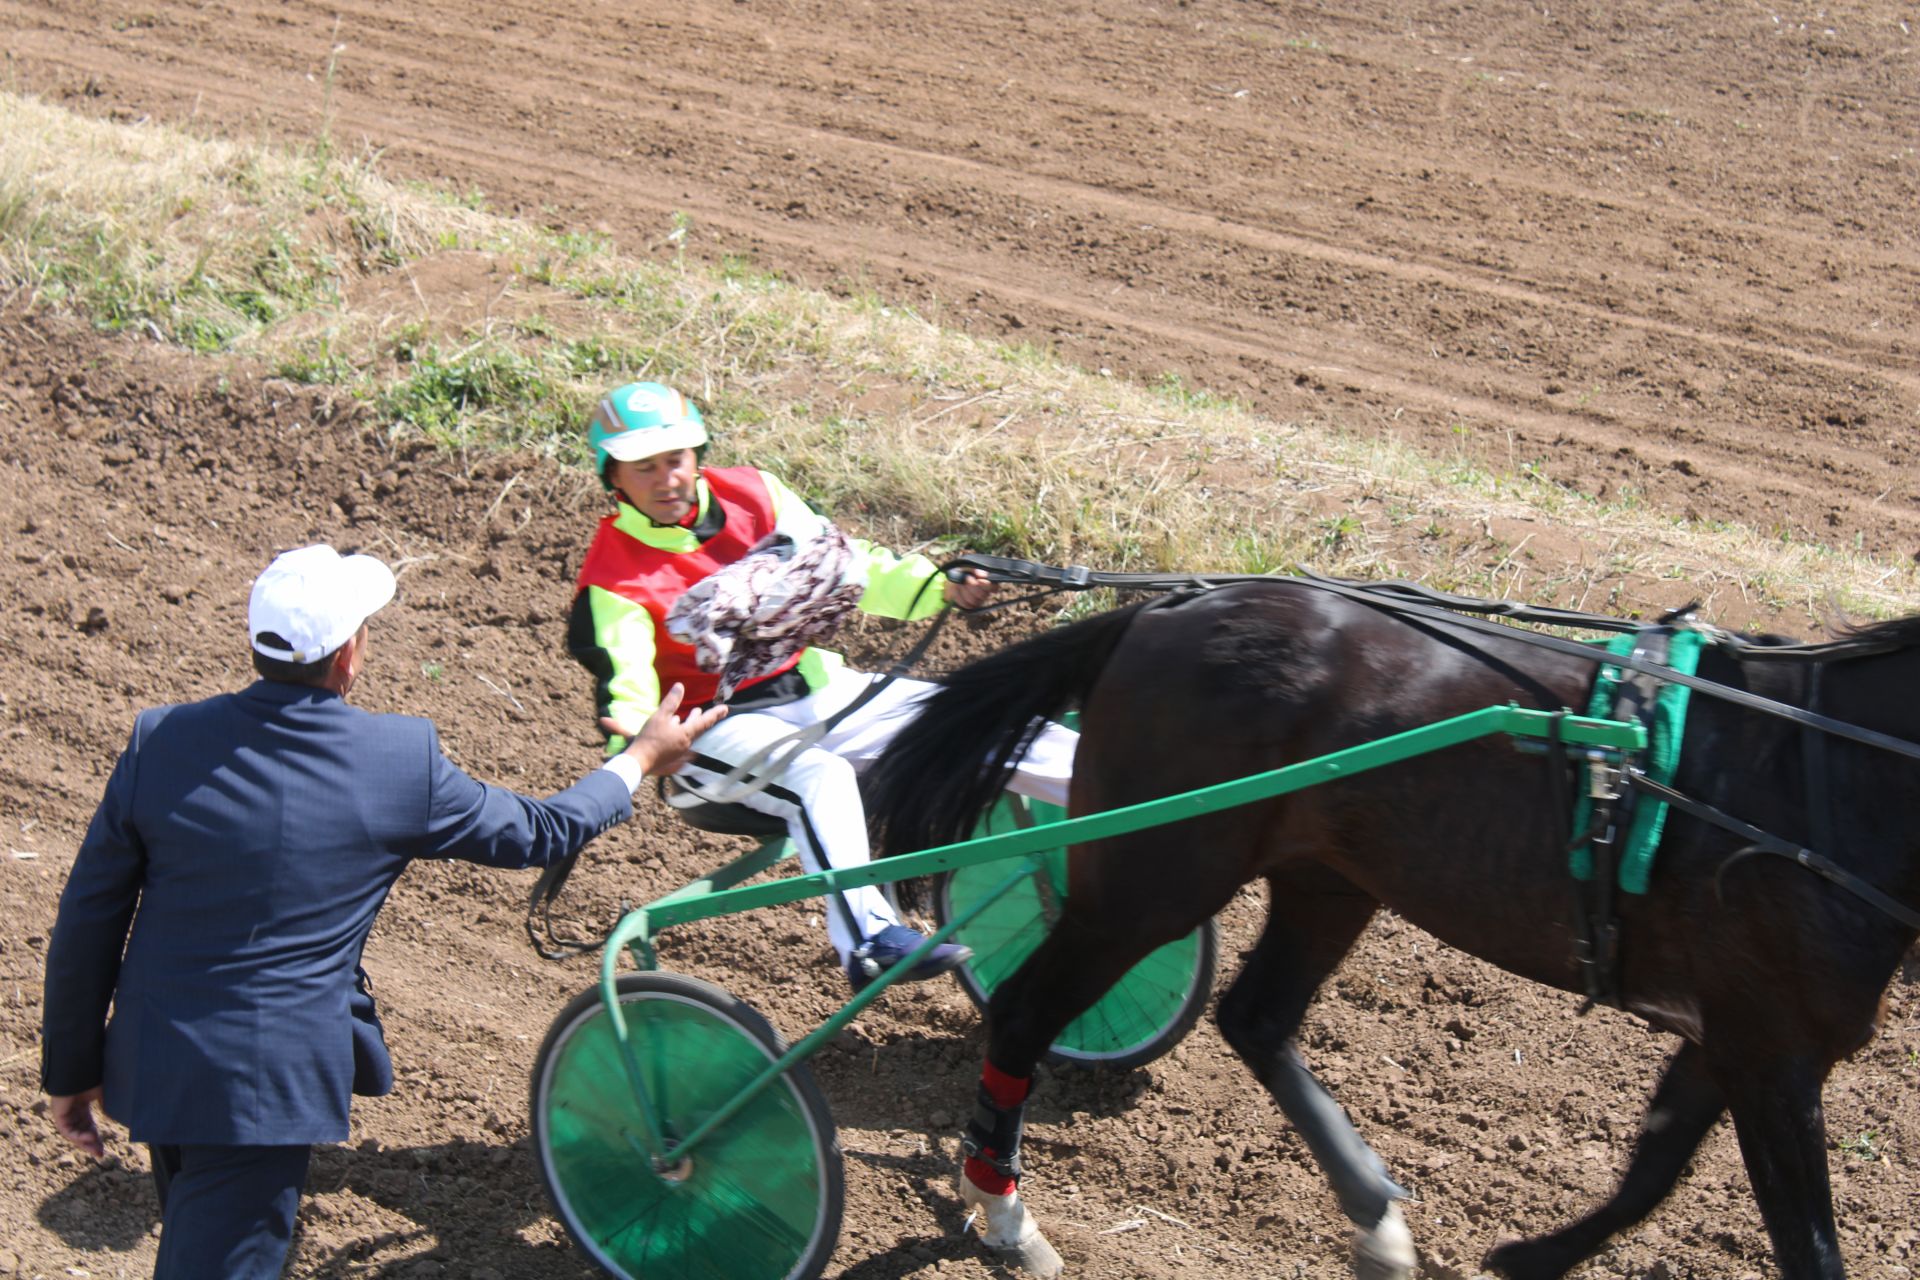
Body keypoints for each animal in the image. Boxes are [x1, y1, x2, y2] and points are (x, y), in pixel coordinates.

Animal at [867, 583, 1920, 1280]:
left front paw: (1531, 1255)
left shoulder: (1733, 1037)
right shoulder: (1769, 1049)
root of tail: (1162, 612)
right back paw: (1005, 1210)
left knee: (1255, 1018)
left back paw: (1374, 1215)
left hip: (1325, 880)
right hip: (1149, 880)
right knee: (1024, 1011)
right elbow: (1806, 1244)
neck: (1813, 775)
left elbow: (1650, 1173)